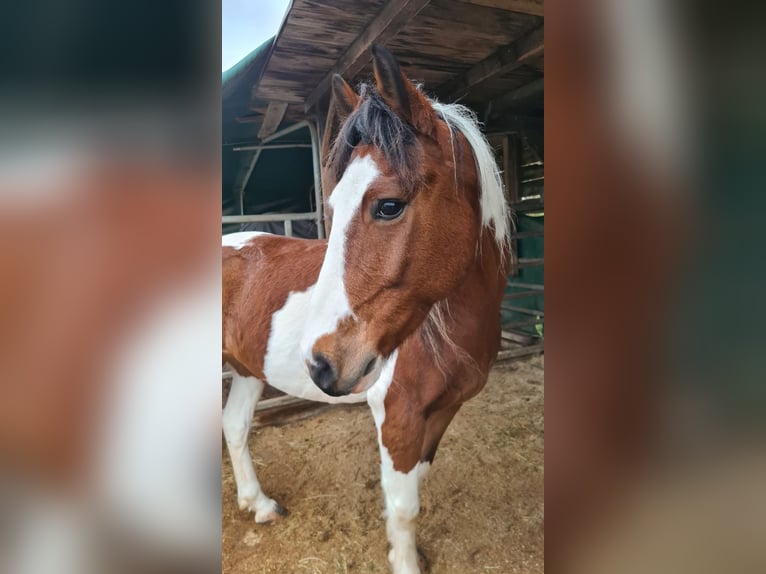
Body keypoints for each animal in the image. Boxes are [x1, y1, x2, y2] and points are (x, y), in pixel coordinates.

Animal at [222, 45, 511, 573]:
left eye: (389, 206)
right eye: (332, 209)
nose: (320, 365)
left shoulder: (441, 413)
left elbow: (412, 488)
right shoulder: (397, 416)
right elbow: (405, 505)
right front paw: (405, 560)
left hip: (248, 369)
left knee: (234, 426)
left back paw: (260, 505)